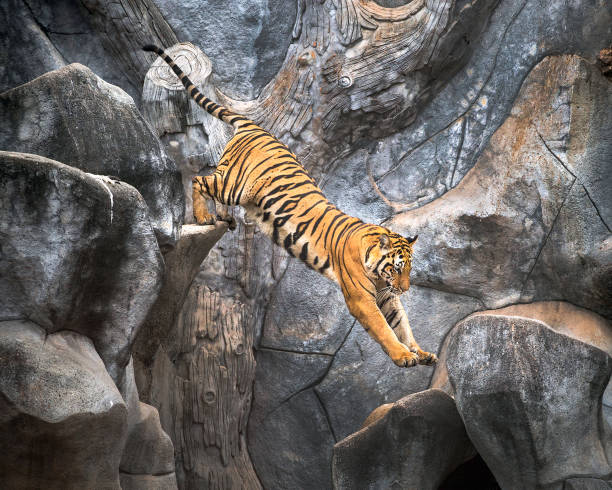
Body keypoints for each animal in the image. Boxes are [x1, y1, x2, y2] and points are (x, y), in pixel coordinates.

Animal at [145, 45, 436, 368]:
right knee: (199, 180)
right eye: (396, 268)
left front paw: (420, 352)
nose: (405, 289)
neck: (375, 267)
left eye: (408, 269)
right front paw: (403, 356)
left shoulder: (386, 296)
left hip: (234, 185)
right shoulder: (362, 298)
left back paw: (221, 217)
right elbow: (385, 329)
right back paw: (203, 216)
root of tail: (255, 126)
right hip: (234, 185)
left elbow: (402, 324)